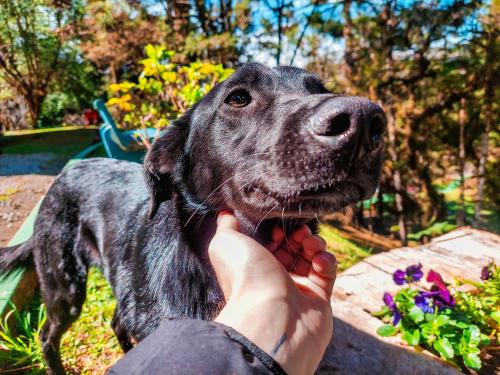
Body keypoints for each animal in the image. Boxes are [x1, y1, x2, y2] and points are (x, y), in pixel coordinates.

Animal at [0, 63, 386, 374]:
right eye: (238, 98)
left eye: (319, 89)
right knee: (47, 335)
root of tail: (66, 171)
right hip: (64, 285)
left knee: (116, 321)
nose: (365, 121)